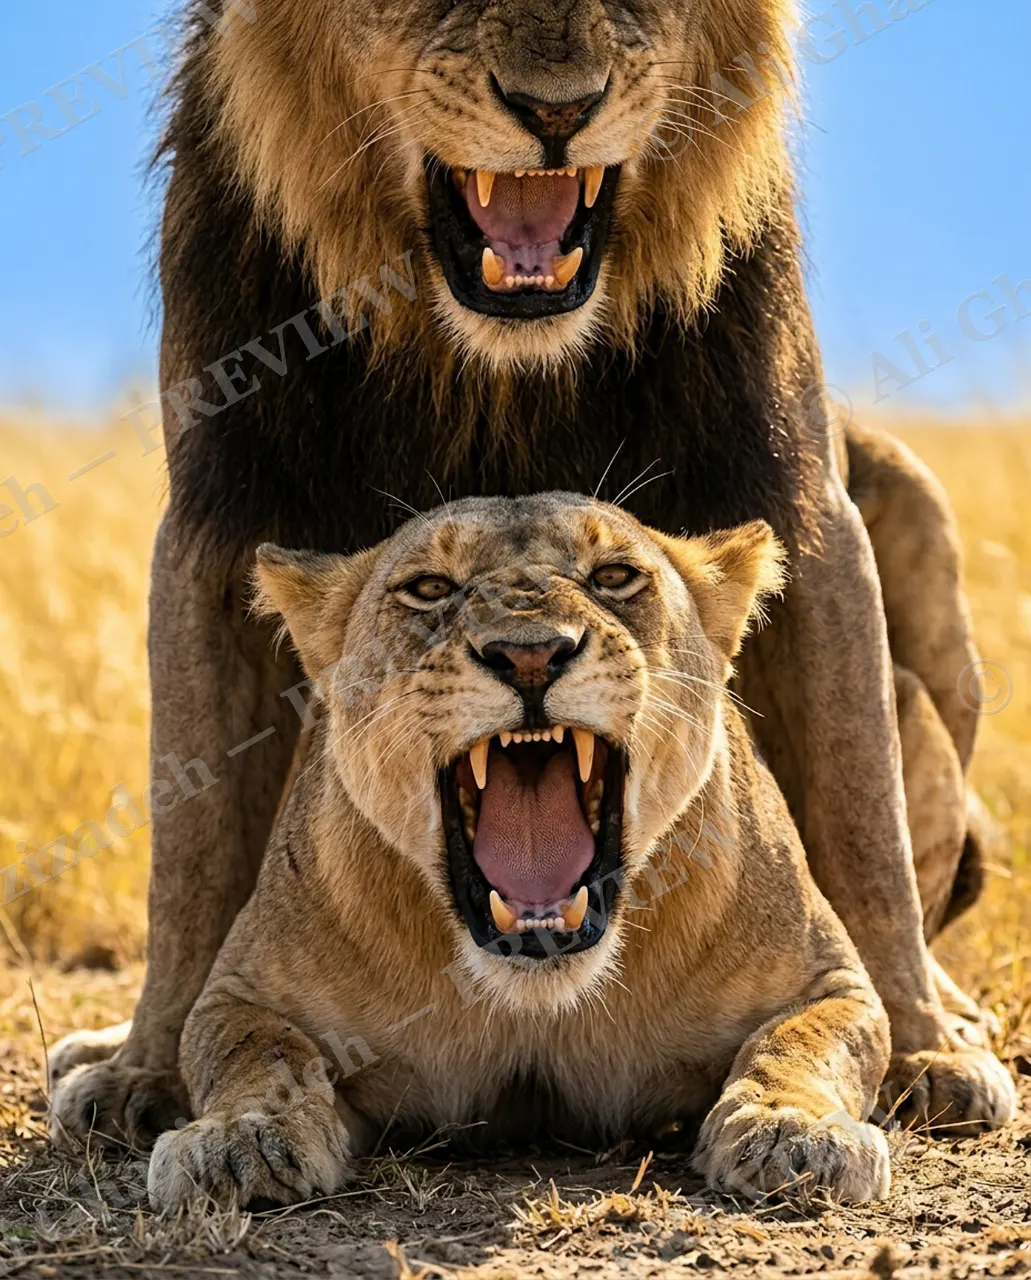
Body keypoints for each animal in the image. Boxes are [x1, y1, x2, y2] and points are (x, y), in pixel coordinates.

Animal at [49, 0, 1010, 1147]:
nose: (558, 112)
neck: (493, 369)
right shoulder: (219, 505)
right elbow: (192, 839)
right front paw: (146, 1067)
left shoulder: (798, 492)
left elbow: (859, 815)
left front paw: (918, 1049)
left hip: (912, 507)